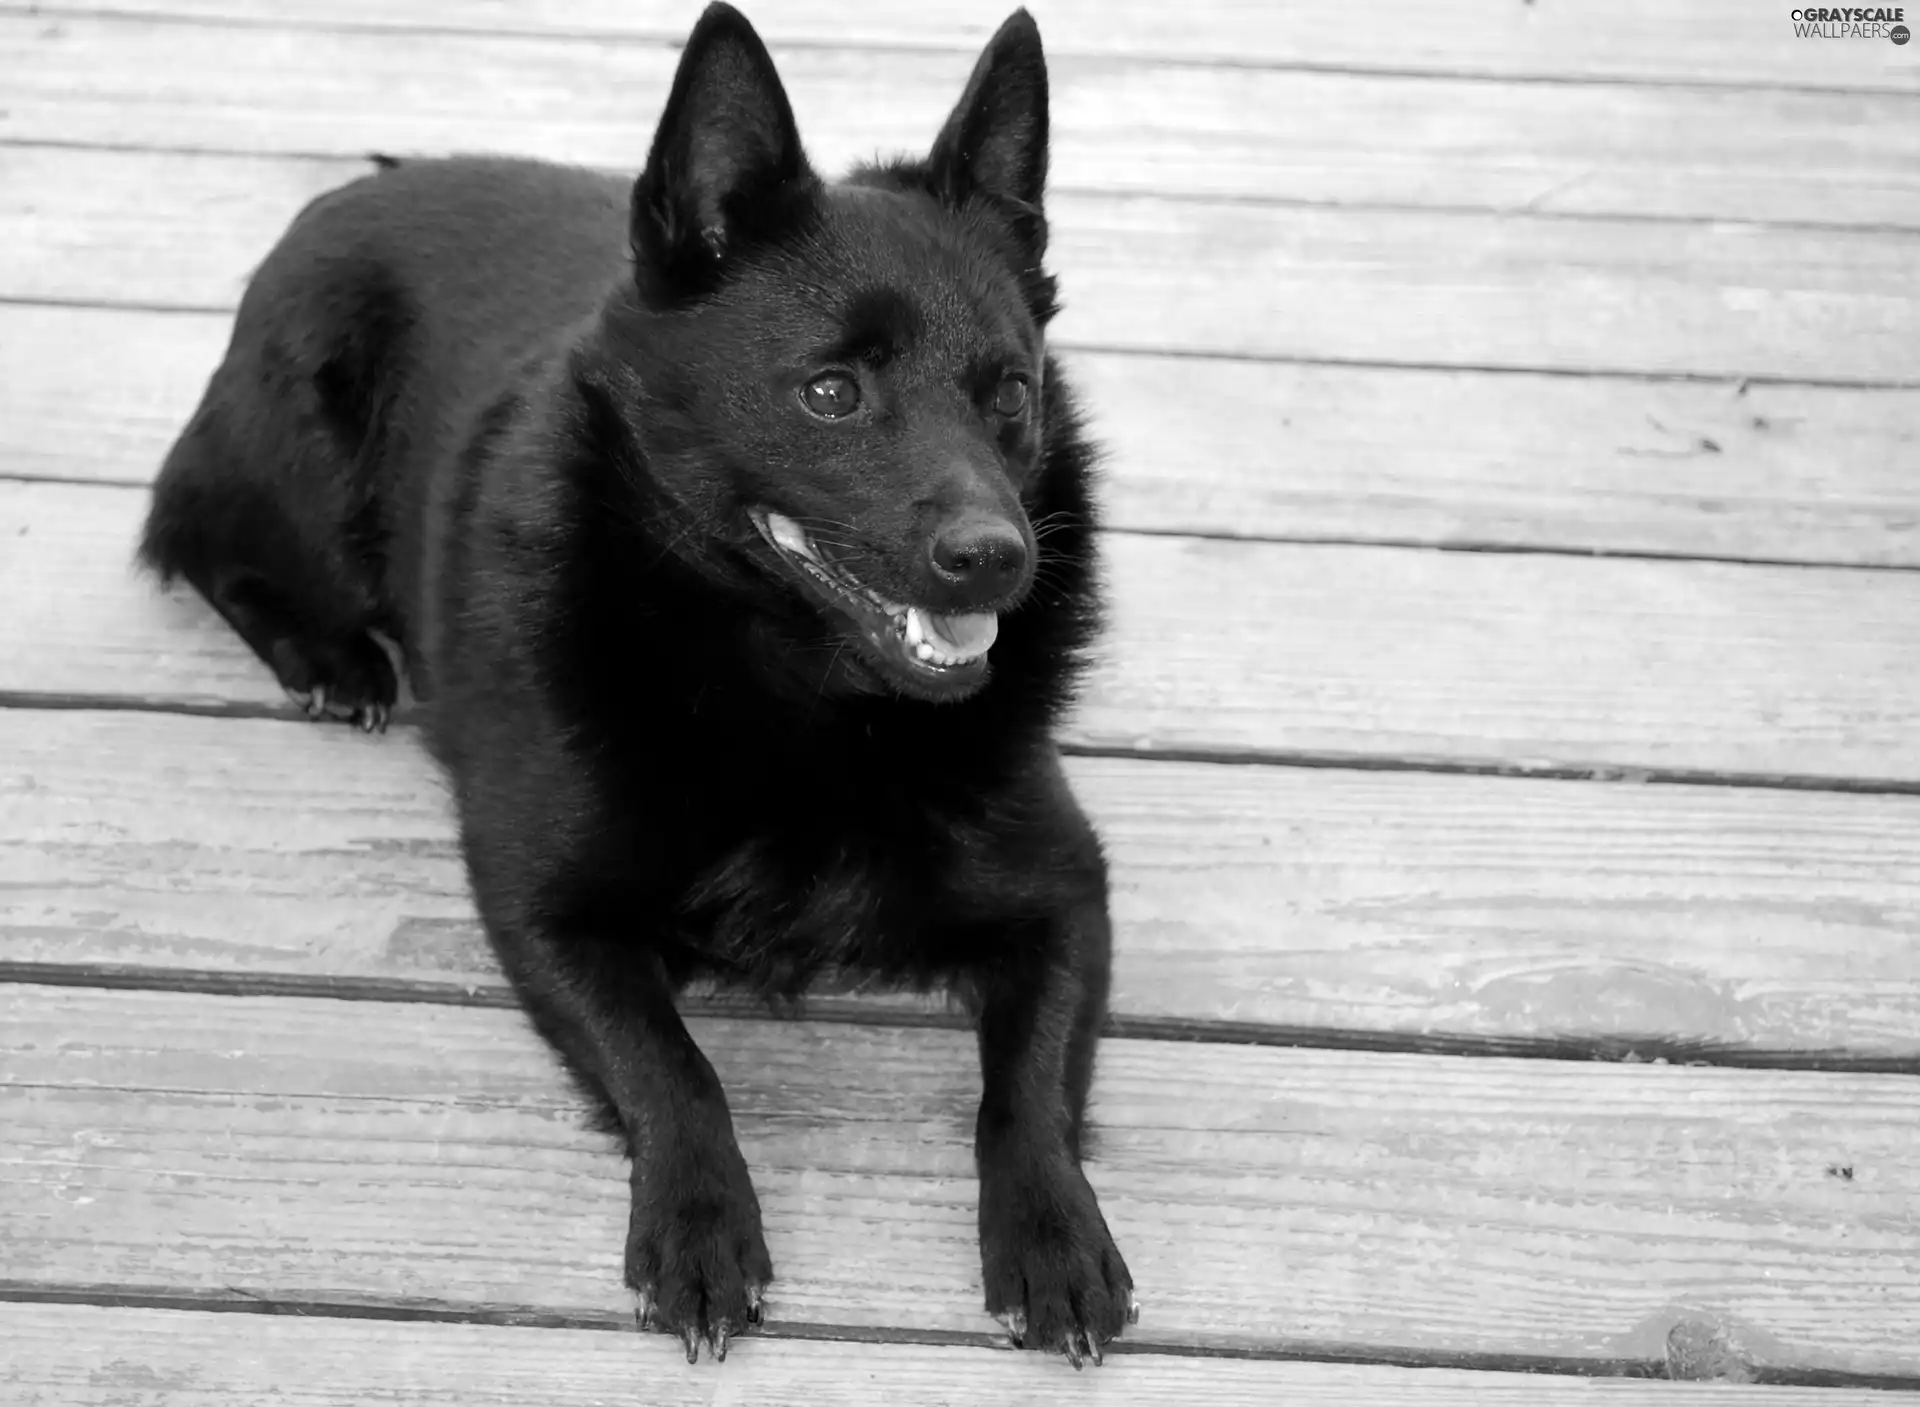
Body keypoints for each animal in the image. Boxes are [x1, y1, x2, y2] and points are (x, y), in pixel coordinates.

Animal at [149, 0, 1128, 1359]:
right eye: (831, 392)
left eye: (1011, 394)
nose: (997, 559)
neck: (805, 704)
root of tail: (355, 189)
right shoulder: (543, 903)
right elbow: (673, 1063)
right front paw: (700, 1226)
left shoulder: (1069, 893)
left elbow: (1025, 1086)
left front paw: (1052, 1232)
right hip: (299, 458)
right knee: (205, 535)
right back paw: (333, 660)